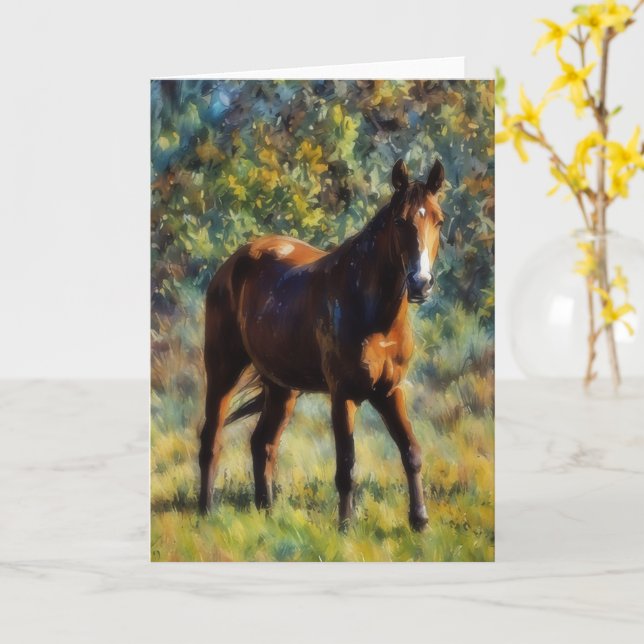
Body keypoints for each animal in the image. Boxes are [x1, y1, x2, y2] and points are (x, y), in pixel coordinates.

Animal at [198, 157, 445, 531]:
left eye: (438, 220)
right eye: (400, 221)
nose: (420, 283)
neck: (373, 313)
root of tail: (233, 263)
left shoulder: (389, 391)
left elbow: (411, 452)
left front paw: (420, 522)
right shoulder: (343, 395)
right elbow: (346, 465)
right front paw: (346, 527)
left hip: (281, 387)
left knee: (263, 443)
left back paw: (267, 511)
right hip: (223, 371)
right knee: (211, 439)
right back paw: (205, 512)